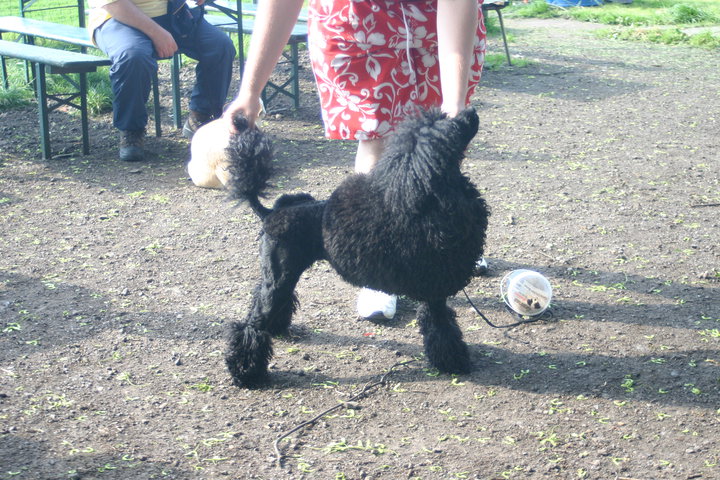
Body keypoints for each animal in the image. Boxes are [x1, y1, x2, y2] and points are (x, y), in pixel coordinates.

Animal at [225, 108, 492, 386]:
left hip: (278, 275)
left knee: (264, 296)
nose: (471, 111)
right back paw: (246, 373)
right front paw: (453, 362)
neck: (430, 203)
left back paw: (275, 330)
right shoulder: (435, 291)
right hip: (280, 275)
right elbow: (441, 327)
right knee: (253, 323)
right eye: (451, 128)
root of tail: (270, 213)